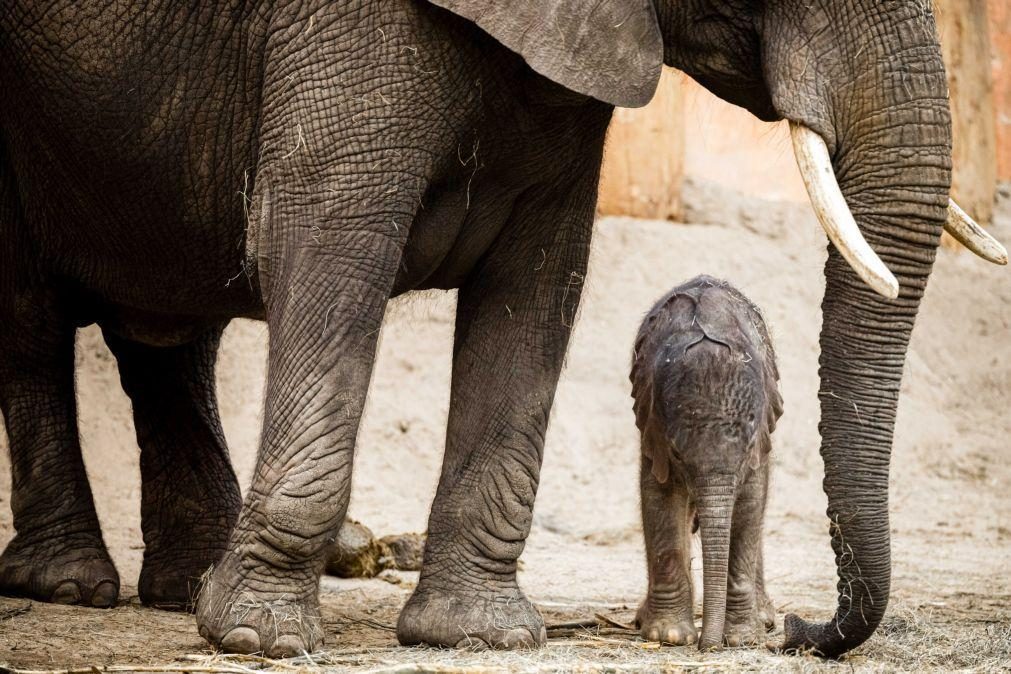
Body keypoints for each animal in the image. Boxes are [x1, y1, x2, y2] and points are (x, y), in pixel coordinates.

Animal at [630, 276, 780, 650]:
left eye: (748, 447)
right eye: (677, 453)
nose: (706, 646)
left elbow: (750, 506)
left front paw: (742, 639)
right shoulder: (653, 425)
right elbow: (660, 499)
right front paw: (668, 635)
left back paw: (764, 618)